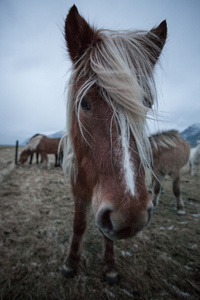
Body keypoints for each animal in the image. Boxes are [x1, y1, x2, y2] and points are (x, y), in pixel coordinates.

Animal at [61, 5, 167, 284]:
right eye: (84, 102)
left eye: (146, 104)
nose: (130, 216)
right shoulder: (78, 188)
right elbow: (79, 224)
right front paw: (70, 264)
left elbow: (107, 235)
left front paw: (109, 267)